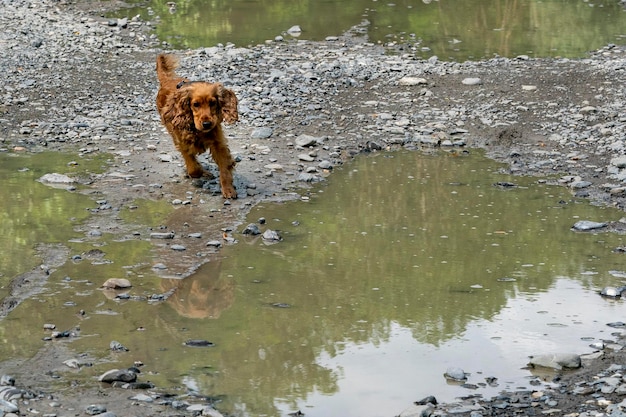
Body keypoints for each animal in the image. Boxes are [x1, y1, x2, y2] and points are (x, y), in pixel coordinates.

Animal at [156, 53, 239, 198]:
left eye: (213, 103)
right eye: (195, 104)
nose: (207, 124)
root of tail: (167, 81)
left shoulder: (218, 142)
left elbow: (224, 166)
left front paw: (228, 189)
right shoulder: (183, 143)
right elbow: (193, 169)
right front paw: (201, 171)